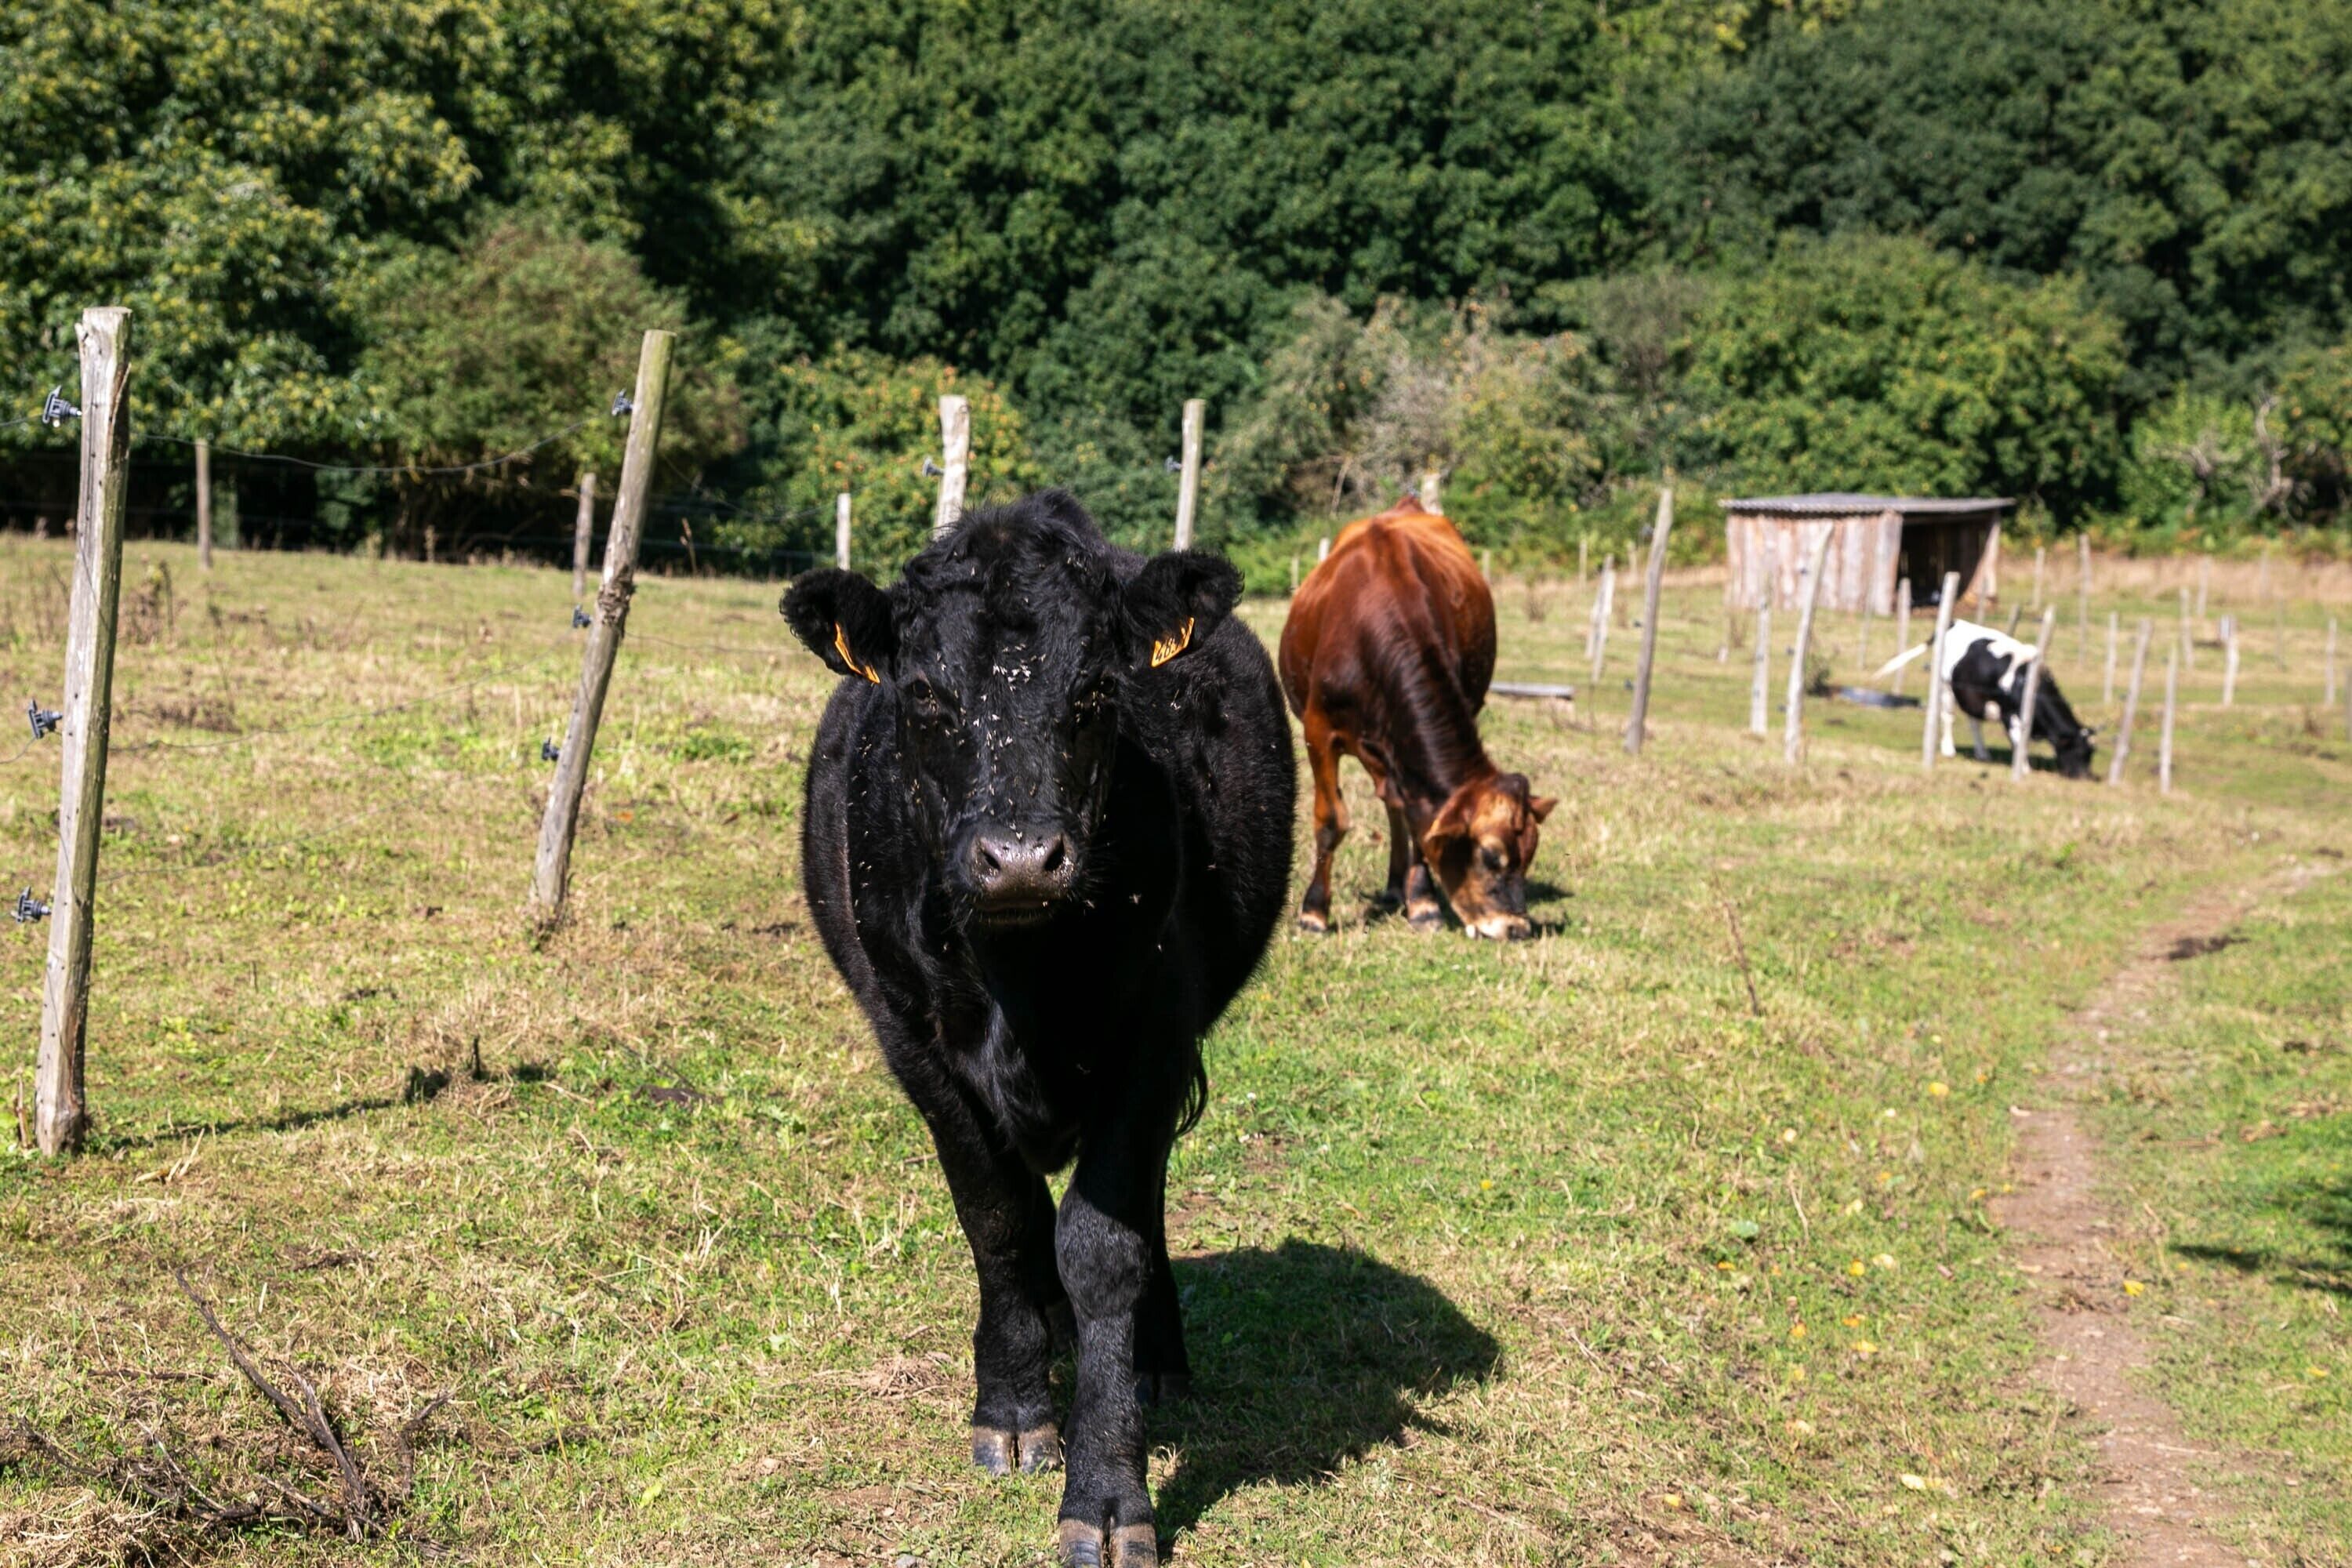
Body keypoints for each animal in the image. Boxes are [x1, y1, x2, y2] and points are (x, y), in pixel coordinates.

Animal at [780, 492, 1294, 1568]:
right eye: (923, 693)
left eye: (1098, 689)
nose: (1020, 857)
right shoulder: (912, 1038)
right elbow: (999, 1217)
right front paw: (1014, 1408)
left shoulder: (1156, 1032)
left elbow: (1104, 1243)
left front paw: (1106, 1490)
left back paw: (1154, 1356)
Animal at [1277, 497, 1555, 940]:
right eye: (1490, 856)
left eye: (1529, 856)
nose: (1516, 927)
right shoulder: (1318, 729)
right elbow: (1330, 821)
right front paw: (1314, 912)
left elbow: (1418, 817)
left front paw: (1423, 904)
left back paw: (1399, 887)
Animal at [1876, 617, 2097, 777]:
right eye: (2076, 751)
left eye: (2090, 753)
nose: (2085, 776)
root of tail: (1955, 623)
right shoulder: (2009, 715)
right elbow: (2018, 740)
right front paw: (2023, 768)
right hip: (1946, 686)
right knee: (1948, 717)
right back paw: (1949, 749)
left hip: (1971, 694)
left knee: (1974, 721)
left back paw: (1982, 754)